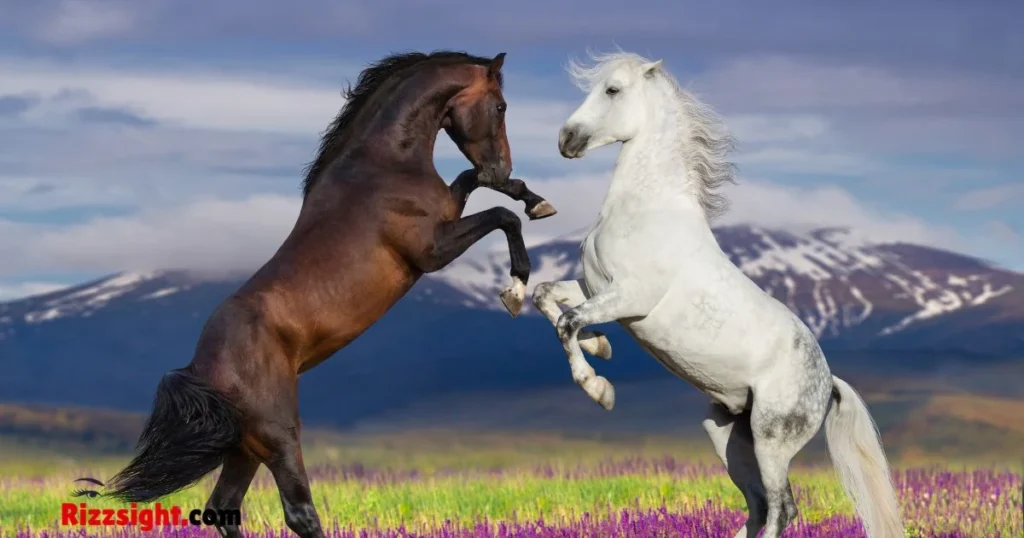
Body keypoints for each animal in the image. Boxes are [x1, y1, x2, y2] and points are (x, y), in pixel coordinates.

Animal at [91, 50, 558, 538]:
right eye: (501, 106)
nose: (502, 165)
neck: (384, 165)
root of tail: (201, 367)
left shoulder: (450, 210)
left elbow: (475, 182)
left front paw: (535, 199)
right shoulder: (432, 250)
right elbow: (504, 216)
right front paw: (515, 288)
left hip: (245, 447)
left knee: (225, 507)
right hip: (278, 434)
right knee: (299, 512)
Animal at [531, 50, 905, 538]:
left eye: (612, 90)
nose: (567, 140)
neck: (648, 209)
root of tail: (828, 384)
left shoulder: (630, 298)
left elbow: (568, 320)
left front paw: (599, 389)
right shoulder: (595, 286)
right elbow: (545, 296)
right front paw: (602, 347)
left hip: (770, 439)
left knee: (782, 508)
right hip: (726, 433)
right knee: (759, 505)